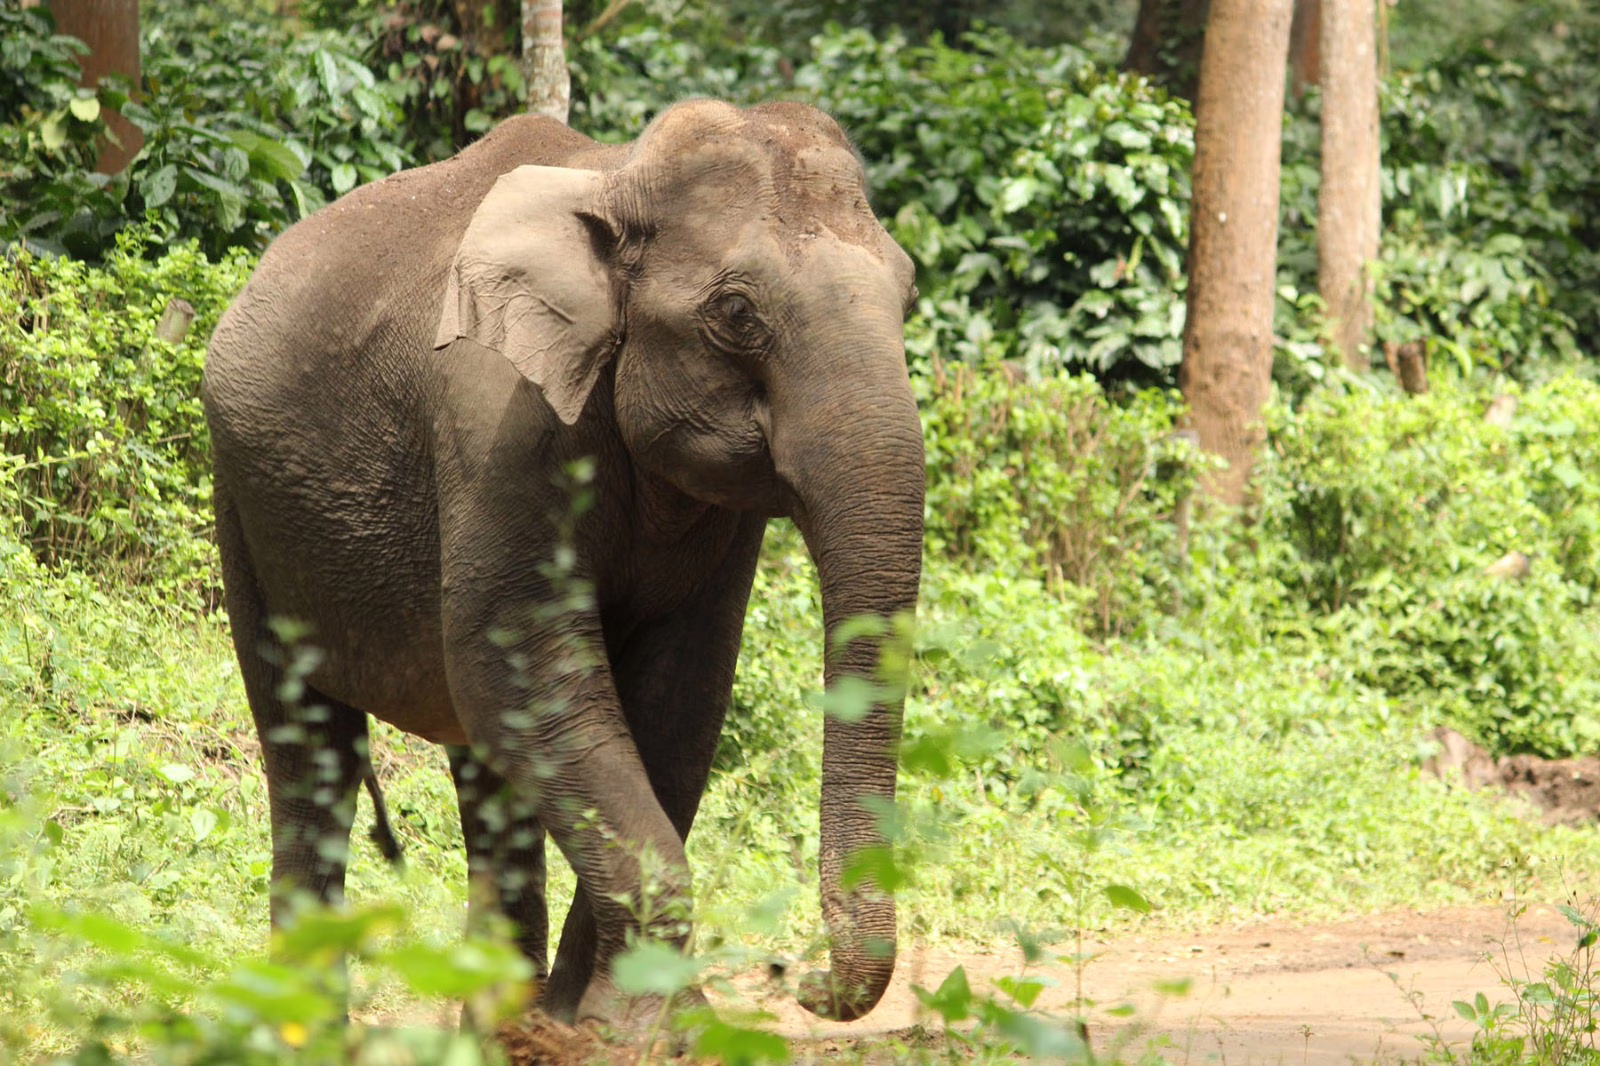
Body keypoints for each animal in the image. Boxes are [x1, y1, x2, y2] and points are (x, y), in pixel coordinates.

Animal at [201, 99, 925, 1028]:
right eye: (736, 312)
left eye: (907, 295)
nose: (803, 985)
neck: (618, 183)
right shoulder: (495, 419)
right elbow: (520, 670)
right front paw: (638, 1028)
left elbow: (679, 700)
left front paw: (598, 1024)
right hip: (241, 500)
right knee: (307, 745)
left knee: (486, 771)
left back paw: (498, 1026)